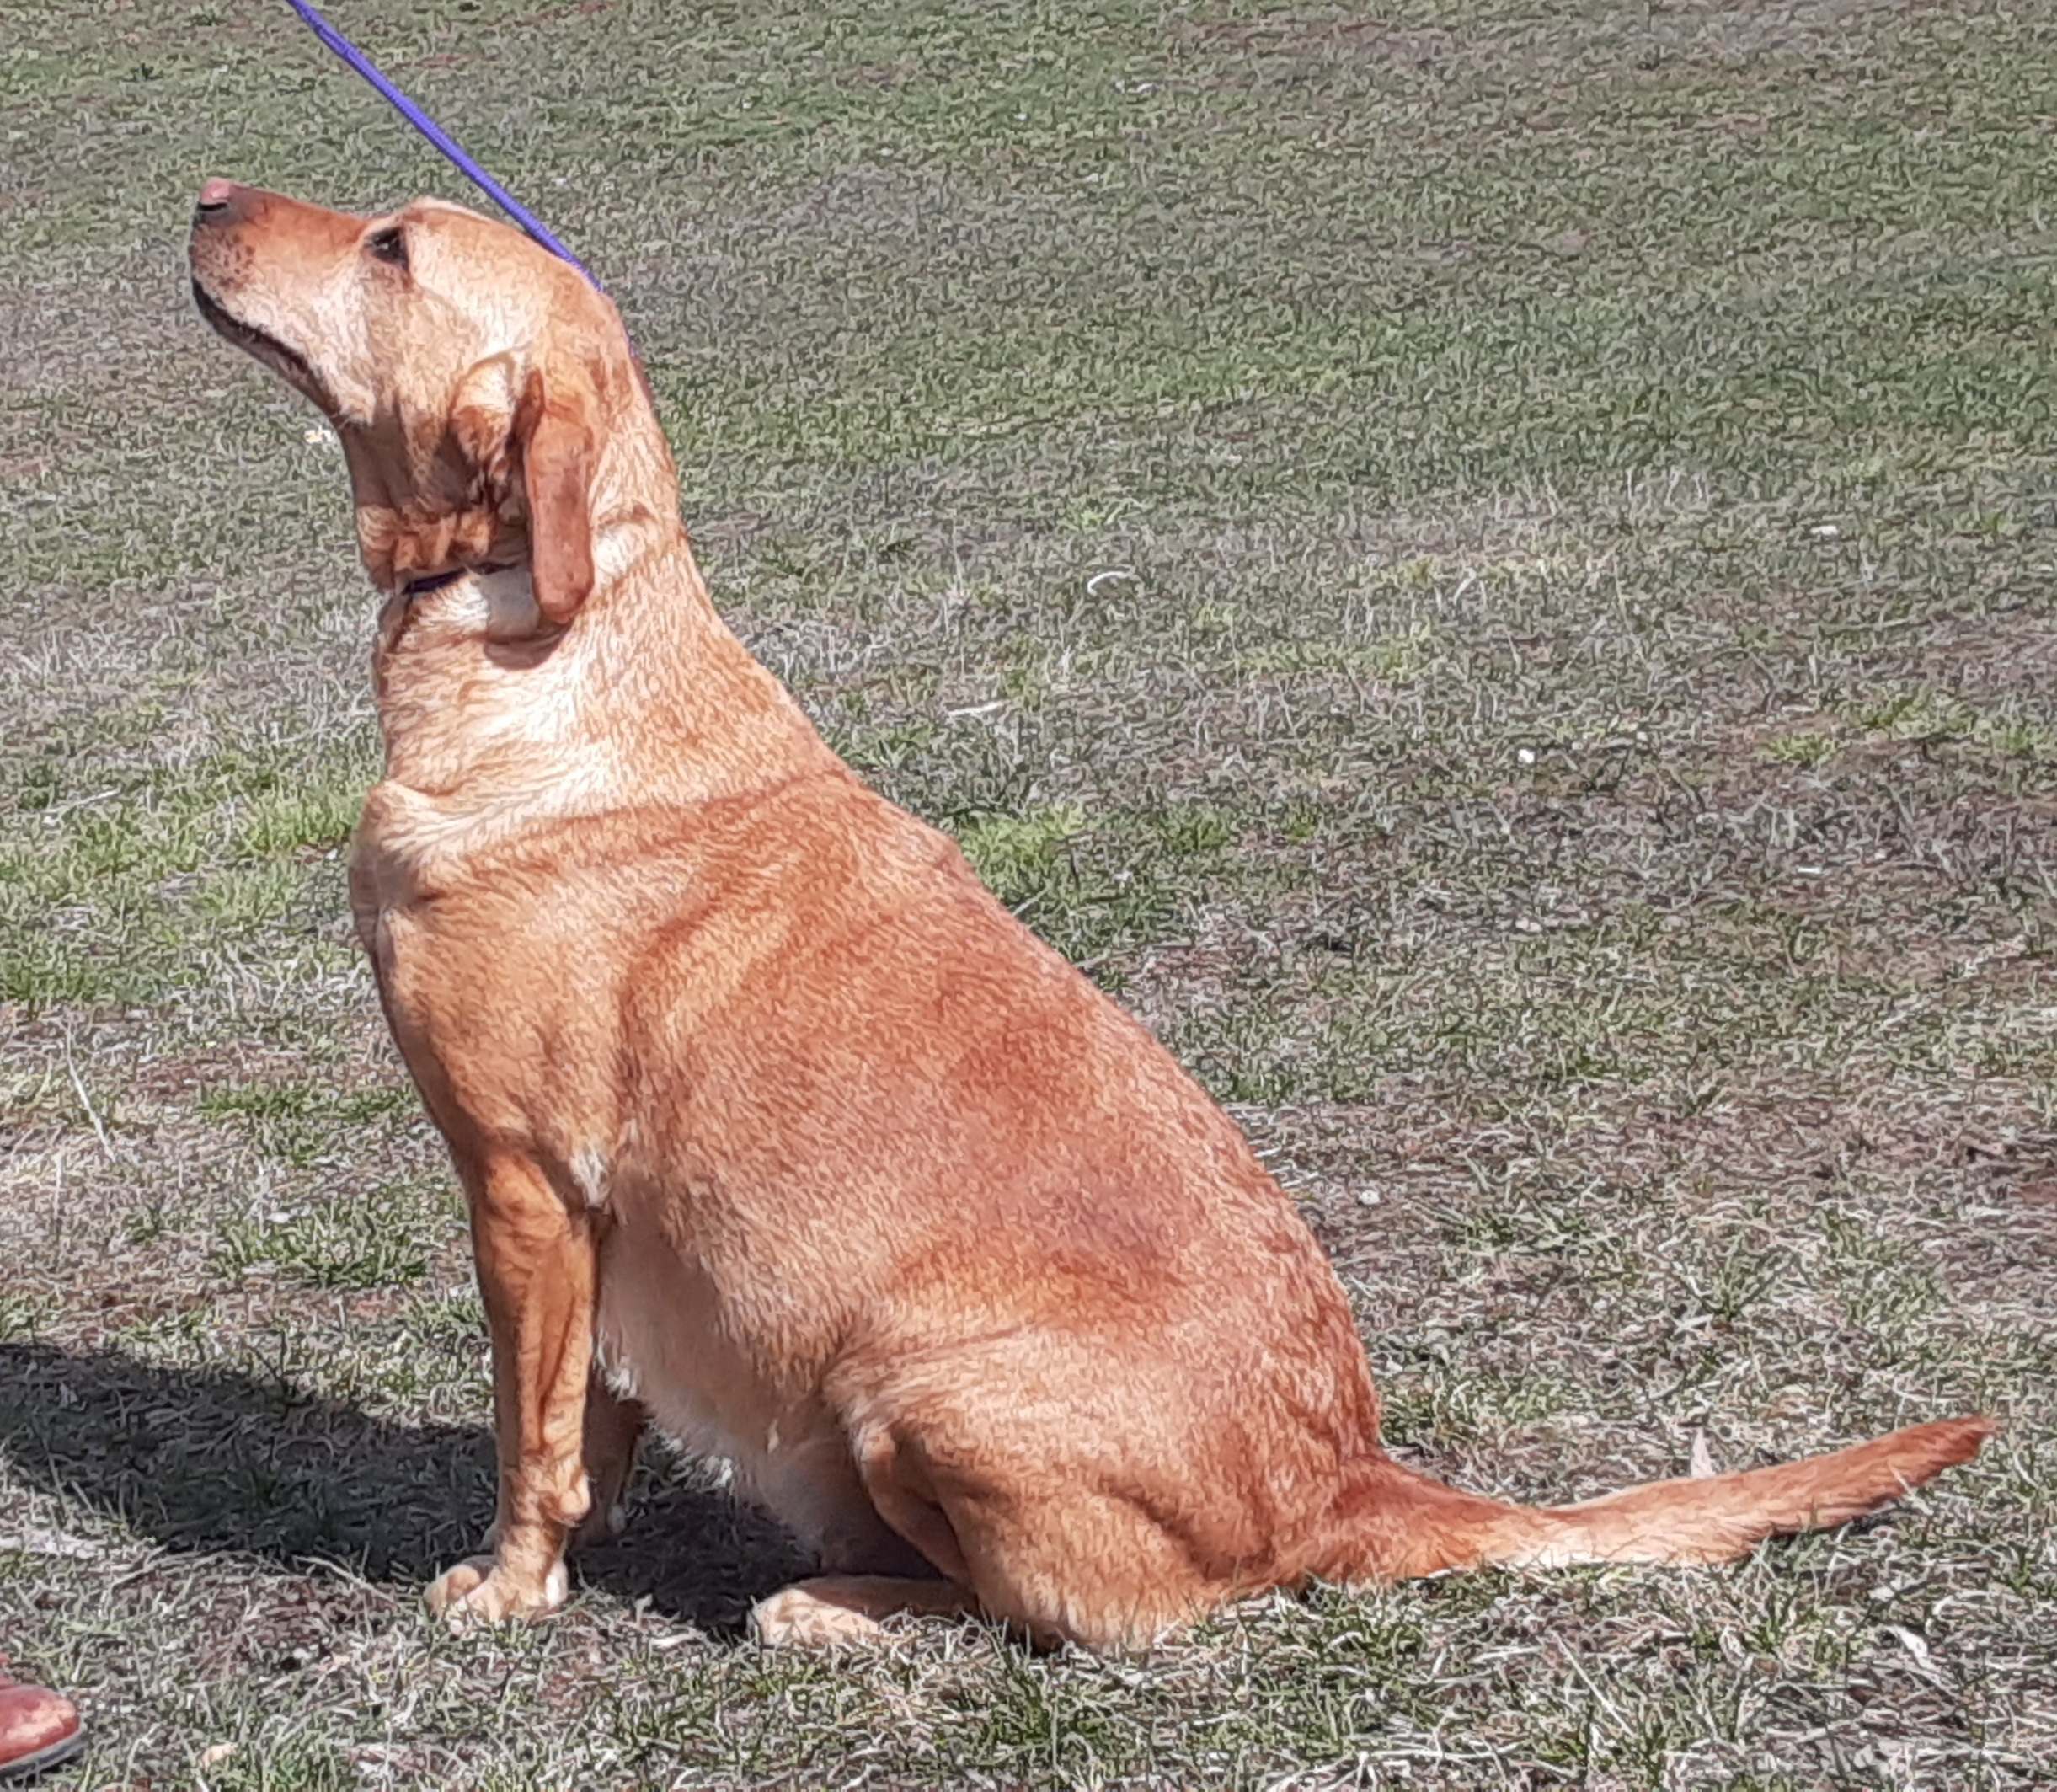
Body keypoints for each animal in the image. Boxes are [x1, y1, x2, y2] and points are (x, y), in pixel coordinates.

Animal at [189, 182, 1990, 1654]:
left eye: (391, 246)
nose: (207, 195)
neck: (547, 653)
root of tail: (1346, 1478)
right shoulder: (594, 1232)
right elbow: (596, 1418)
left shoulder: (518, 1183)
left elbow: (531, 1433)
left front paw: (509, 1584)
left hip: (921, 1384)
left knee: (1088, 1613)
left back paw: (833, 1607)